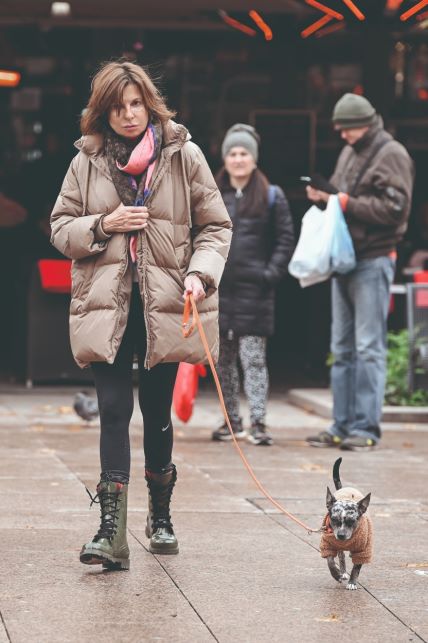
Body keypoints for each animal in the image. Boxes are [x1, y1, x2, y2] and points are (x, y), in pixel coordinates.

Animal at [320, 460, 372, 592]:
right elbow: (330, 561)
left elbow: (356, 567)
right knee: (341, 557)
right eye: (333, 519)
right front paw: (336, 574)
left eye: (351, 521)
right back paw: (342, 572)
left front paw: (352, 582)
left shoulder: (363, 550)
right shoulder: (328, 545)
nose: (341, 535)